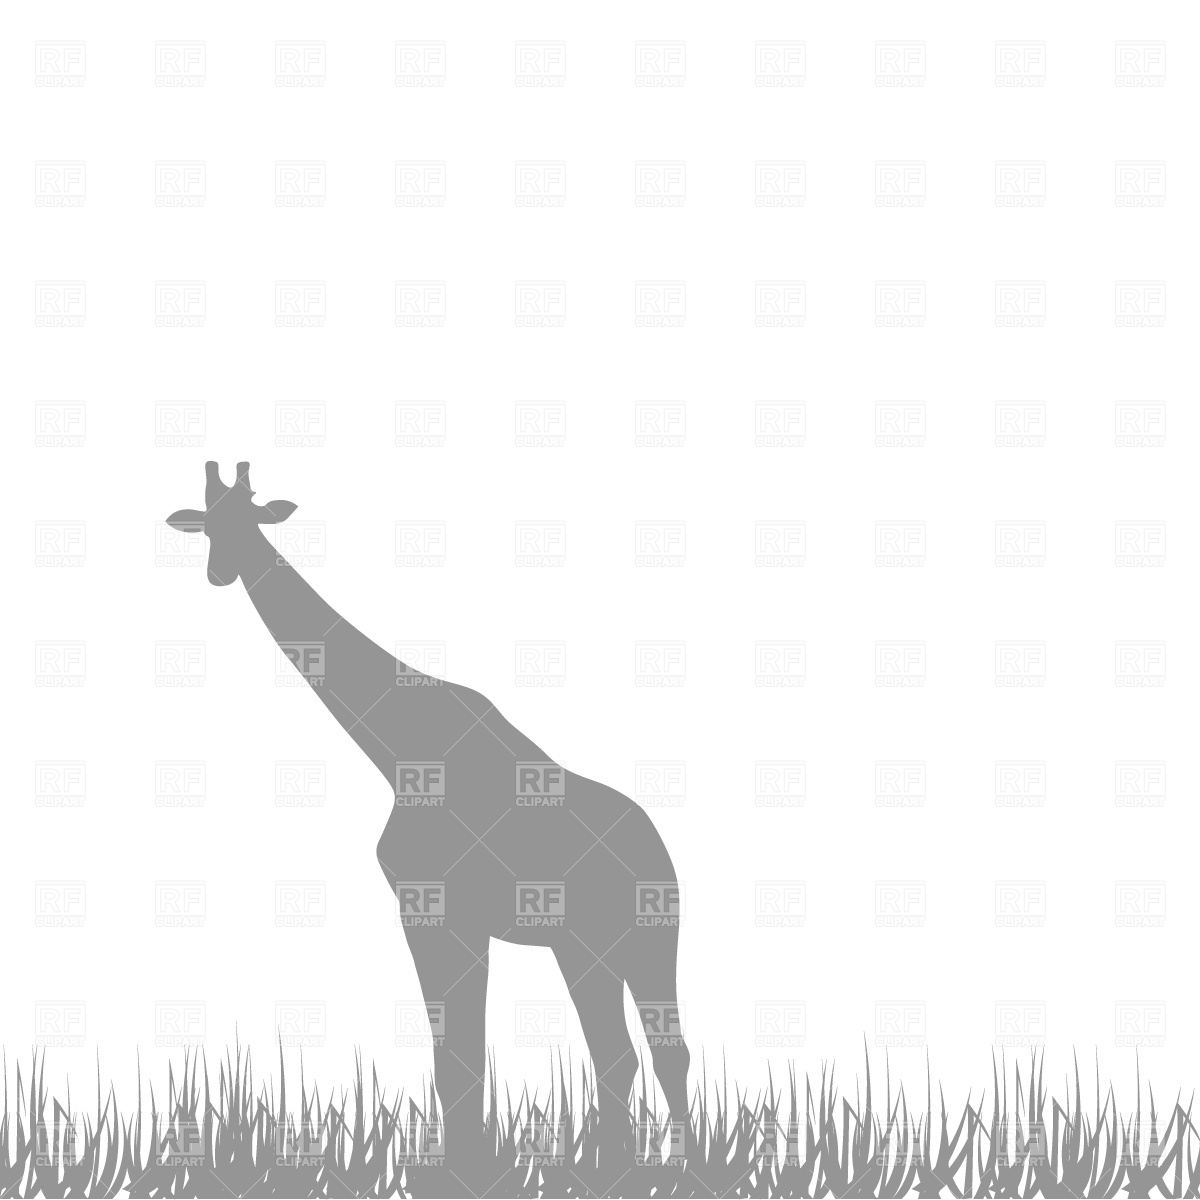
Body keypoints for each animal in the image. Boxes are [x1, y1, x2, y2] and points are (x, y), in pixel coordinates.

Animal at [166, 462, 691, 1181]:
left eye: (251, 518)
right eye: (207, 524)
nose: (221, 573)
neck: (396, 751)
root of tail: (662, 858)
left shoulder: (440, 912)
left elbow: (459, 1061)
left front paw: (465, 1169)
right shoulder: (440, 916)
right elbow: (459, 1061)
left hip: (638, 941)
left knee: (658, 1052)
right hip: (589, 947)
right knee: (624, 1053)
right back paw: (617, 1168)